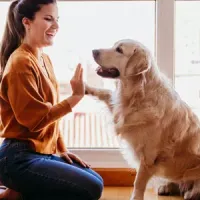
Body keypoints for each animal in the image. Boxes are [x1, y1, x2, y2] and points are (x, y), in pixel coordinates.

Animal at [85, 39, 200, 200]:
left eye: (119, 50)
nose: (94, 51)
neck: (138, 94)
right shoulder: (119, 108)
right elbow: (105, 92)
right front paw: (84, 86)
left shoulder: (148, 157)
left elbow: (138, 182)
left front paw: (136, 197)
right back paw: (167, 187)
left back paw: (191, 193)